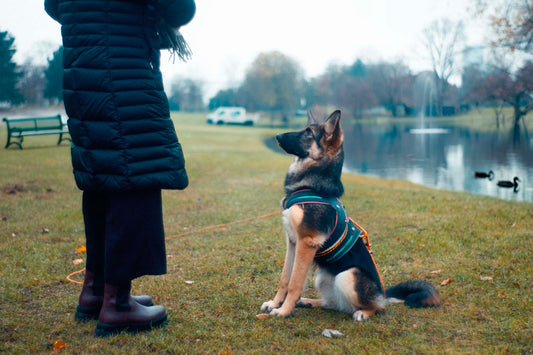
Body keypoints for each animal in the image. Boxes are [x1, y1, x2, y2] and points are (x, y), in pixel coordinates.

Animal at [260, 110, 438, 322]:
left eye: (309, 133)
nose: (277, 136)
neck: (311, 185)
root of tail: (382, 294)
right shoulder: (293, 242)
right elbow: (285, 278)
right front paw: (274, 304)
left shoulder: (306, 243)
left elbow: (294, 283)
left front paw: (284, 311)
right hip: (323, 277)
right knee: (333, 304)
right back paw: (309, 302)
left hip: (347, 275)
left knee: (376, 307)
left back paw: (363, 312)